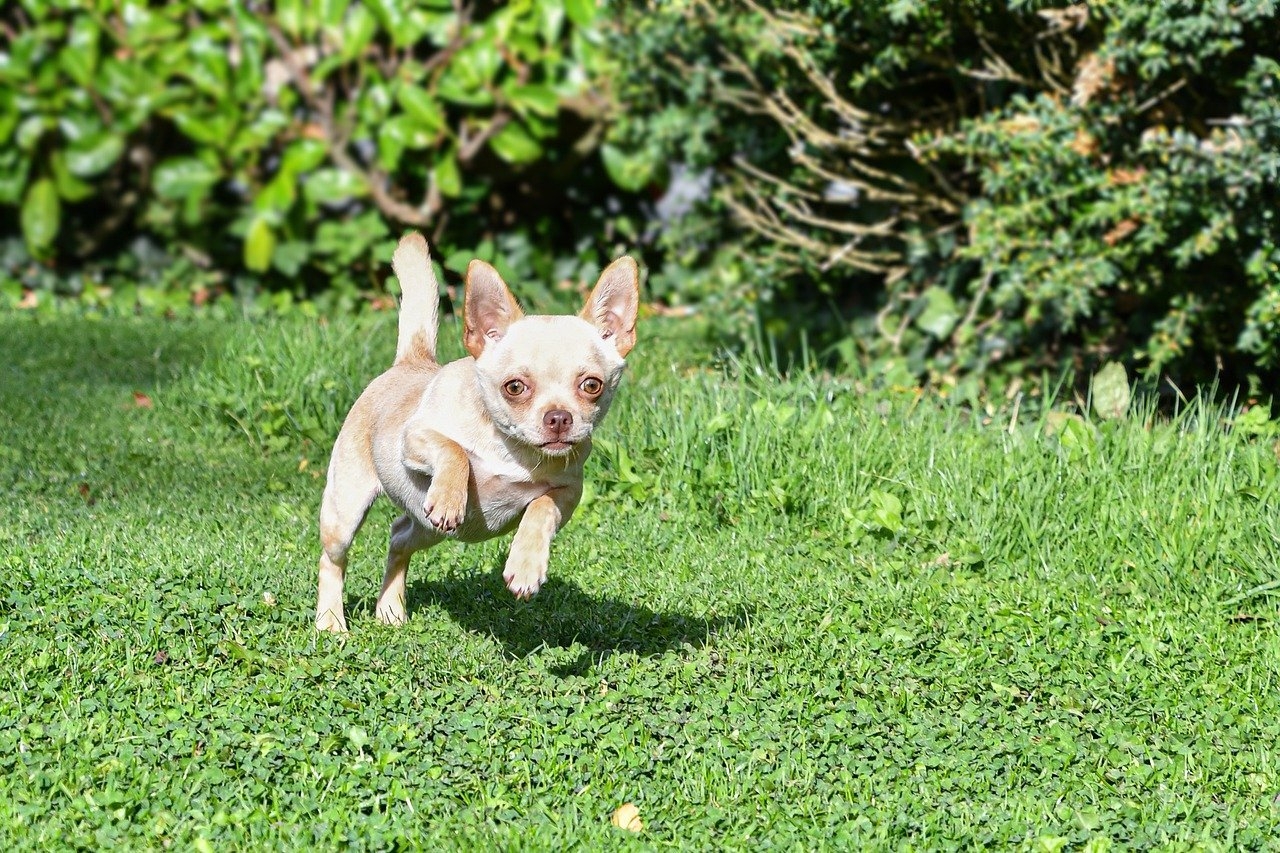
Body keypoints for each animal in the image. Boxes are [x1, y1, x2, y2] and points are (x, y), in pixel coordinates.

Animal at [312, 229, 637, 627]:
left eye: (592, 385)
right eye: (514, 387)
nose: (559, 417)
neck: (512, 450)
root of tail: (411, 361)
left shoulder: (568, 494)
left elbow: (541, 507)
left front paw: (526, 566)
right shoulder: (415, 438)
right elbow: (454, 450)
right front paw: (450, 497)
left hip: (427, 528)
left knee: (398, 536)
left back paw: (390, 608)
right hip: (346, 511)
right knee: (333, 560)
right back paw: (330, 621)